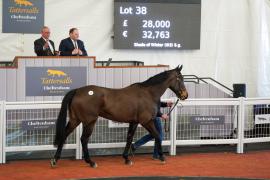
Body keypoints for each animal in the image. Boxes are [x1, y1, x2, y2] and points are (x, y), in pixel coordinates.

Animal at [51, 65, 189, 168]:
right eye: (179, 78)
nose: (185, 95)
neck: (148, 93)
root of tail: (77, 91)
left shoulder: (134, 122)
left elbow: (129, 138)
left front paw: (126, 158)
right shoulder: (146, 121)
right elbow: (157, 135)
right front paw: (162, 157)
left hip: (75, 120)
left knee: (64, 135)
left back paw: (55, 160)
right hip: (89, 121)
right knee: (84, 139)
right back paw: (91, 162)